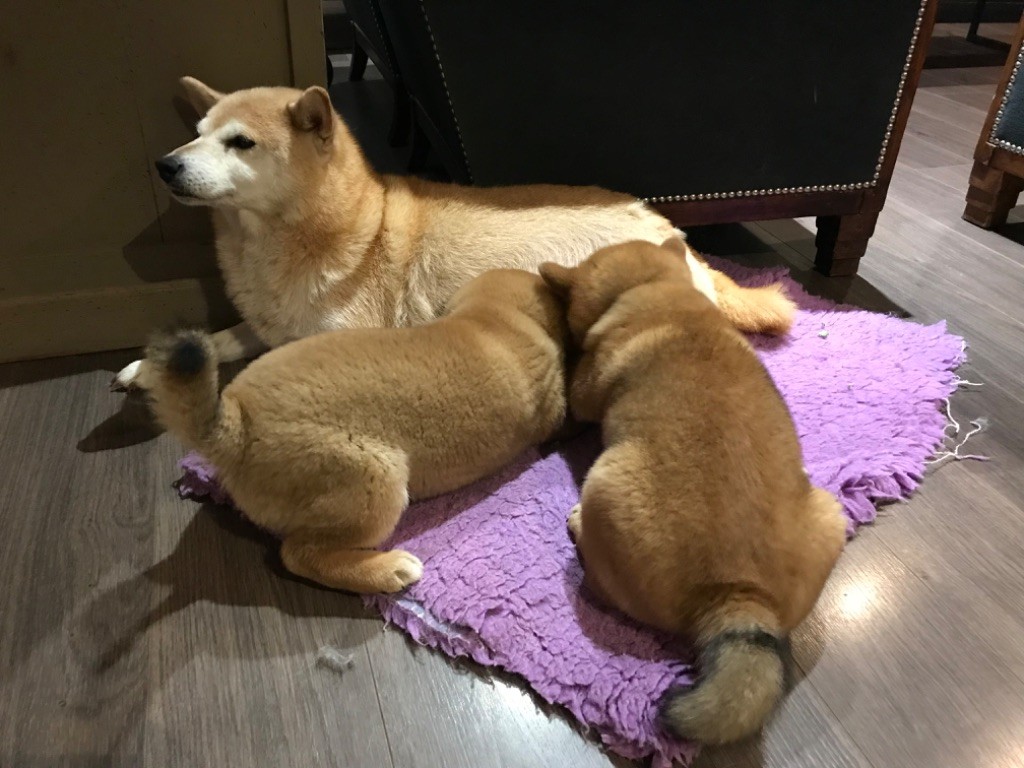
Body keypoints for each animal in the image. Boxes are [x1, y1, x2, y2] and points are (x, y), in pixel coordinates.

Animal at [112, 77, 795, 389]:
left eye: (241, 143)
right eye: (197, 133)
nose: (165, 164)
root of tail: (667, 224)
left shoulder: (334, 334)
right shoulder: (268, 321)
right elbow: (222, 337)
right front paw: (150, 366)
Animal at [539, 240, 845, 745]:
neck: (656, 293)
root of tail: (738, 596)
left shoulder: (583, 394)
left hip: (603, 483)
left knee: (601, 581)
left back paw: (578, 524)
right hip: (831, 510)